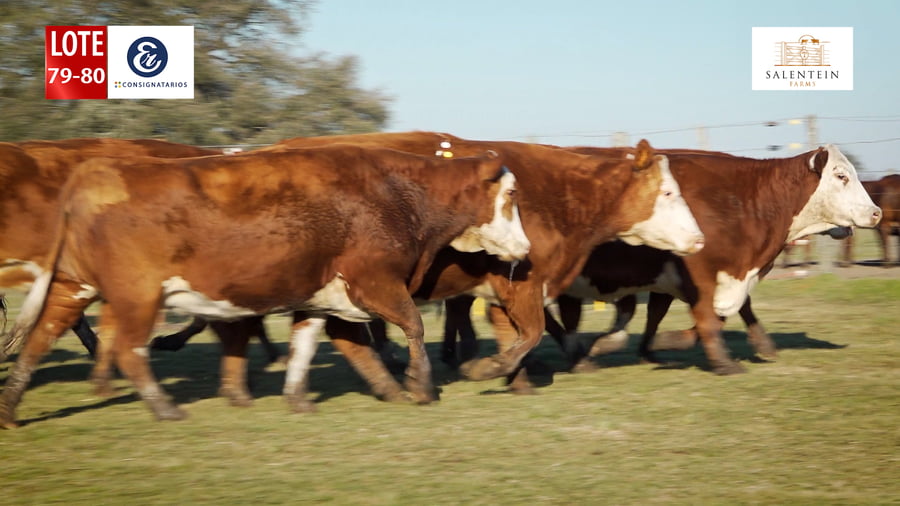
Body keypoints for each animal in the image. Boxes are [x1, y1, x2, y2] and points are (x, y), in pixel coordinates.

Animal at [0, 144, 530, 426]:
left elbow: (306, 345)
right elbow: (413, 327)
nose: (526, 249)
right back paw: (165, 407)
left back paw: (10, 406)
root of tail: (99, 170)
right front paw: (419, 386)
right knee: (129, 350)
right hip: (138, 297)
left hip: (72, 287)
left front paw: (299, 397)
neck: (400, 194)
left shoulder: (319, 297)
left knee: (40, 339)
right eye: (509, 195)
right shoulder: (376, 281)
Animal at [260, 132, 704, 409]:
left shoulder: (504, 291)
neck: (557, 197)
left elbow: (518, 336)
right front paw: (485, 369)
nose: (699, 239)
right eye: (668, 191)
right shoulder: (522, 285)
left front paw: (518, 381)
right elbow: (530, 334)